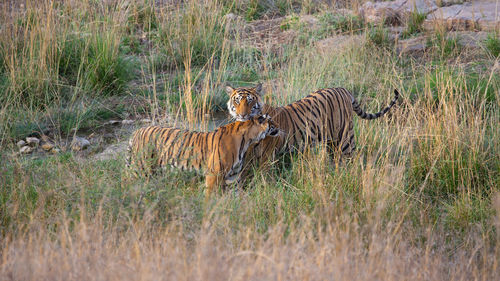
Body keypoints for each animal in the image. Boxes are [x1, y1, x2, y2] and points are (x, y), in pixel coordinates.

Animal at [127, 114, 280, 195]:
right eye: (272, 121)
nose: (279, 127)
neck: (248, 140)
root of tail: (137, 131)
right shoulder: (213, 174)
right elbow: (210, 195)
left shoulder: (233, 176)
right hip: (141, 169)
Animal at [225, 82, 400, 166]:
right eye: (237, 101)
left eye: (250, 101)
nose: (242, 114)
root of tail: (343, 89)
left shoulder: (267, 155)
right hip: (331, 141)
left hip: (345, 138)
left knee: (350, 158)